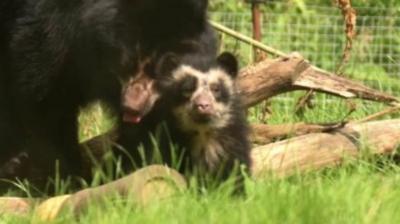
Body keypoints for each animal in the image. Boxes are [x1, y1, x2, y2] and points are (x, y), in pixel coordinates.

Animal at [0, 0, 212, 182]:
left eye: (163, 70)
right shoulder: (48, 36)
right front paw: (66, 180)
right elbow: (46, 102)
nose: (132, 108)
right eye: (128, 63)